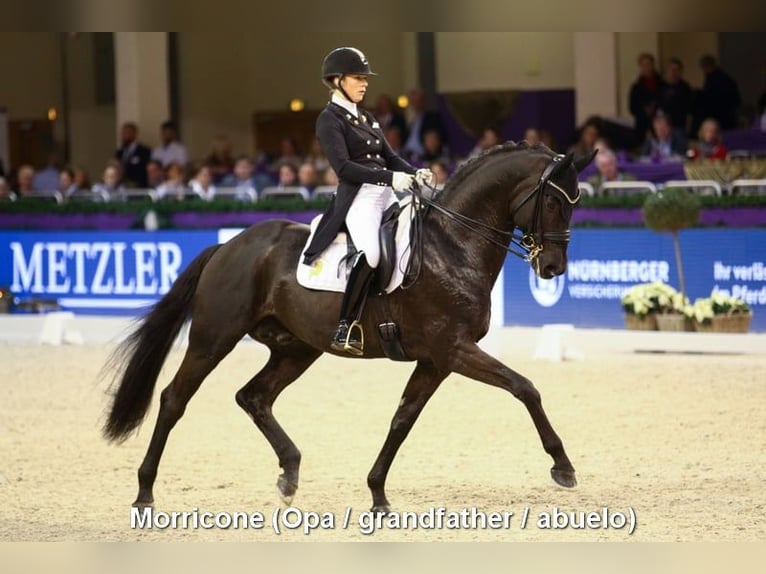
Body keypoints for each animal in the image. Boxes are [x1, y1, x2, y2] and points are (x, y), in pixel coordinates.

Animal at [103, 141, 595, 512]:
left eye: (576, 203)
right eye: (554, 200)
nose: (553, 268)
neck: (452, 246)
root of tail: (228, 246)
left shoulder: (436, 360)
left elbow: (403, 418)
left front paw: (377, 492)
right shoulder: (454, 349)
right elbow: (525, 387)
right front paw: (563, 466)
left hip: (296, 348)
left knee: (254, 397)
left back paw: (289, 474)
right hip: (213, 339)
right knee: (174, 399)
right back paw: (145, 491)